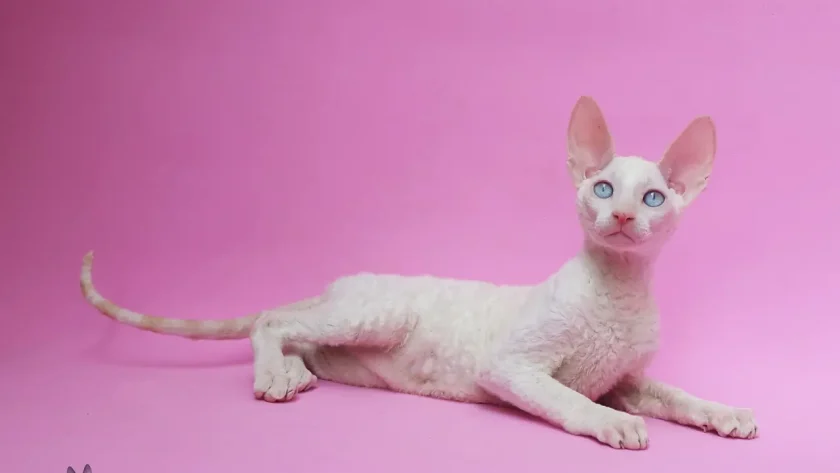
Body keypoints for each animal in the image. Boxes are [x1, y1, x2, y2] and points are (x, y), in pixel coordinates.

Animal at [82, 97, 756, 450]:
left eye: (653, 199)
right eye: (604, 188)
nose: (619, 215)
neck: (619, 288)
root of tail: (338, 284)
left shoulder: (622, 377)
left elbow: (672, 394)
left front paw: (721, 413)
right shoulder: (511, 366)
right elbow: (570, 399)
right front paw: (615, 424)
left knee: (293, 330)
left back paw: (294, 373)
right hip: (375, 313)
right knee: (271, 319)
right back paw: (274, 376)